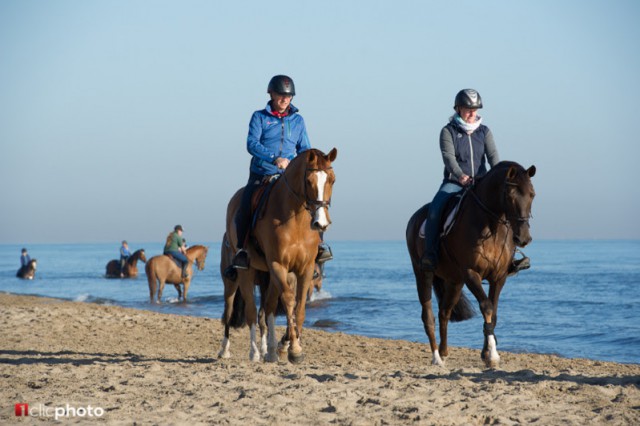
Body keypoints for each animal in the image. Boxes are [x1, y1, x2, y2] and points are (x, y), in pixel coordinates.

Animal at [219, 147, 338, 362]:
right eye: (309, 181)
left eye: (332, 180)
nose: (321, 223)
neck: (296, 221)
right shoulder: (278, 265)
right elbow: (289, 301)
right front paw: (294, 349)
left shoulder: (304, 269)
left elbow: (299, 308)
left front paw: (288, 344)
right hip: (238, 277)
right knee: (239, 311)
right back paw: (242, 351)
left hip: (267, 277)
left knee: (266, 311)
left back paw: (270, 350)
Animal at [404, 161, 536, 368]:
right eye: (510, 195)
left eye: (532, 194)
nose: (523, 238)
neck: (491, 227)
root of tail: (415, 217)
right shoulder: (471, 273)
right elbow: (486, 306)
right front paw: (492, 355)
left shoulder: (499, 277)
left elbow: (493, 313)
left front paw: (487, 353)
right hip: (423, 274)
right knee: (428, 315)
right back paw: (436, 357)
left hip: (454, 281)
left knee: (444, 312)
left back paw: (444, 352)